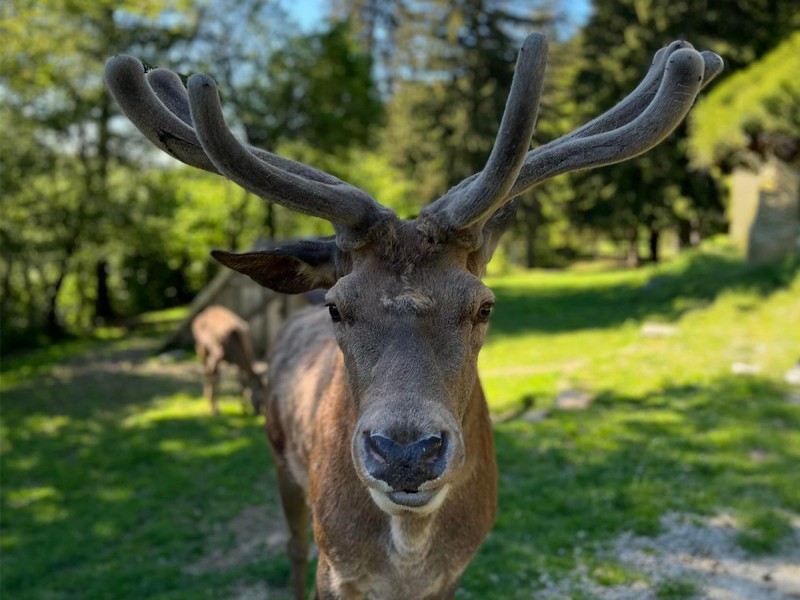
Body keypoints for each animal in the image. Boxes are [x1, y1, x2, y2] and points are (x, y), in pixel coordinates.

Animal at [105, 34, 722, 599]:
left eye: (484, 305)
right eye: (338, 306)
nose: (405, 452)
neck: (407, 552)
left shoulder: (452, 573)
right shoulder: (338, 567)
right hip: (281, 459)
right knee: (291, 546)